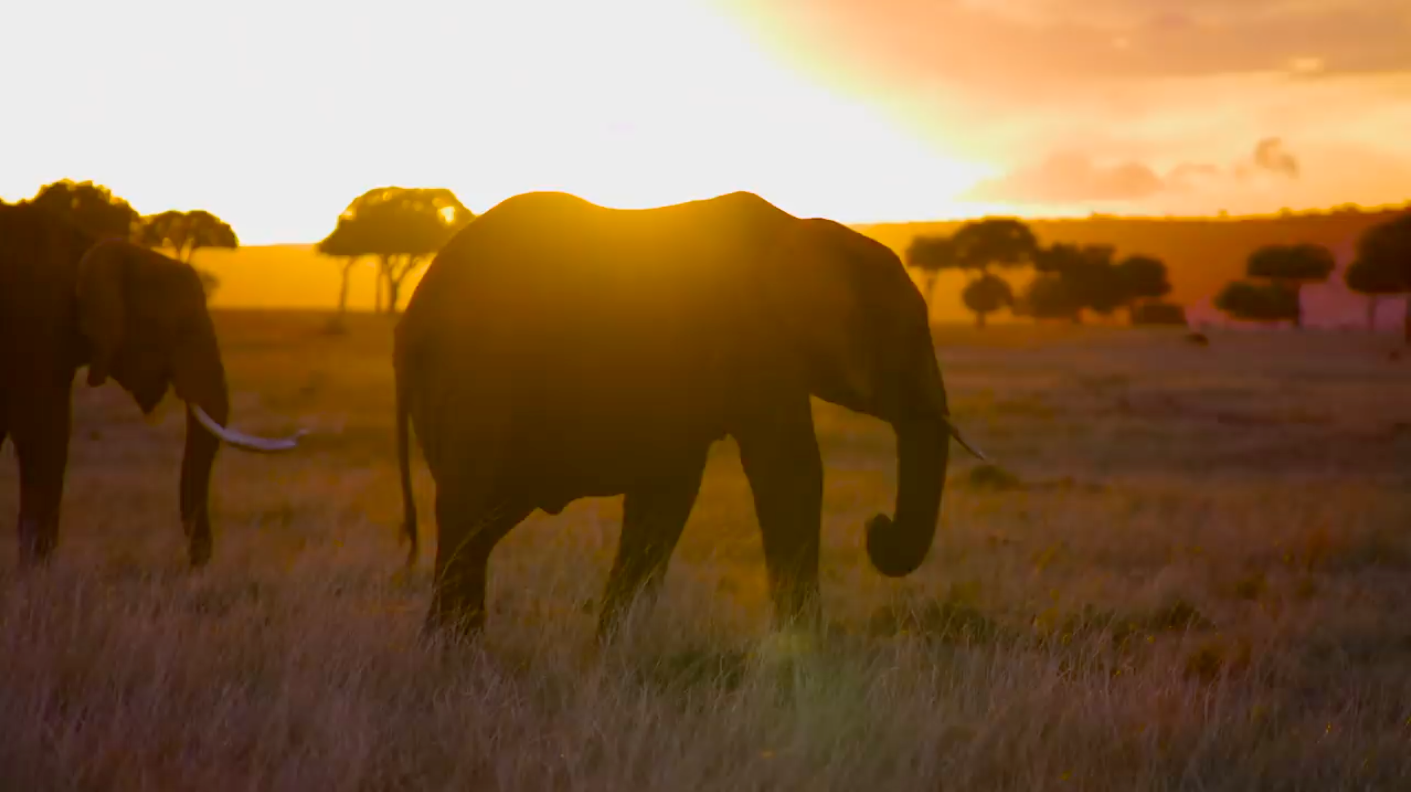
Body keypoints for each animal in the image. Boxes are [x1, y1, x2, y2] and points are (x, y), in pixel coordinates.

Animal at [0, 201, 304, 567]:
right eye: (180, 326)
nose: (195, 566)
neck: (89, 244)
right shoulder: (37, 328)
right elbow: (46, 436)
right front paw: (37, 571)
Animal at [394, 190, 984, 639]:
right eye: (904, 339)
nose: (875, 527)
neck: (806, 233)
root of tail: (408, 322)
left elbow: (667, 496)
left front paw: (610, 651)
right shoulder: (756, 338)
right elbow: (791, 475)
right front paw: (808, 657)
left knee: (479, 526)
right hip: (477, 380)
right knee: (469, 518)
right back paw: (457, 656)